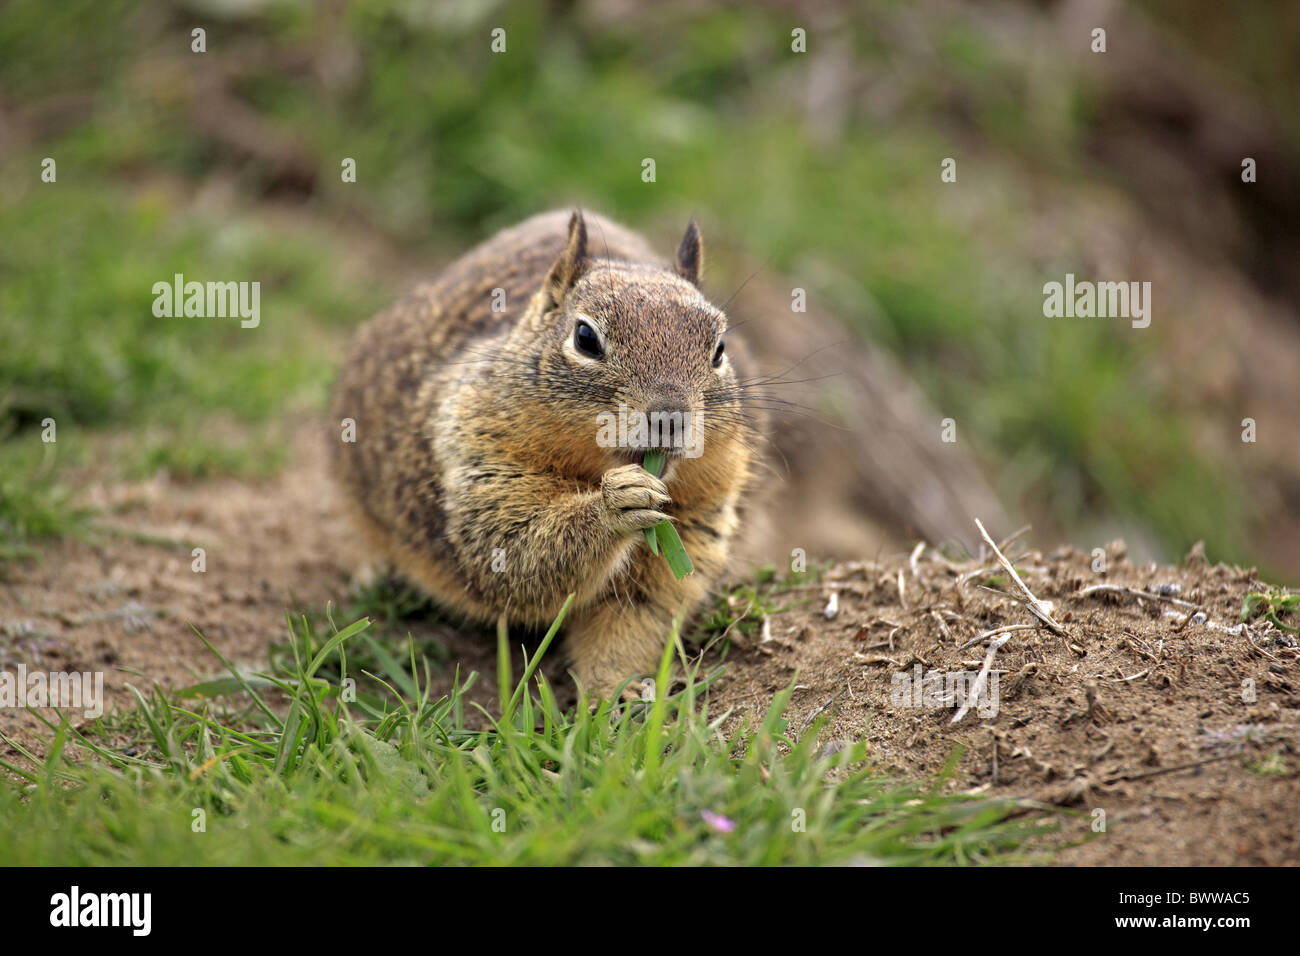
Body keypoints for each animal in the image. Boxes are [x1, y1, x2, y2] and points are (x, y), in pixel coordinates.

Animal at [330, 209, 764, 697]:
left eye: (720, 349)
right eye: (585, 337)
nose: (670, 417)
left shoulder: (696, 518)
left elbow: (632, 620)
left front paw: (618, 689)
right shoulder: (481, 459)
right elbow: (516, 551)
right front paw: (616, 504)